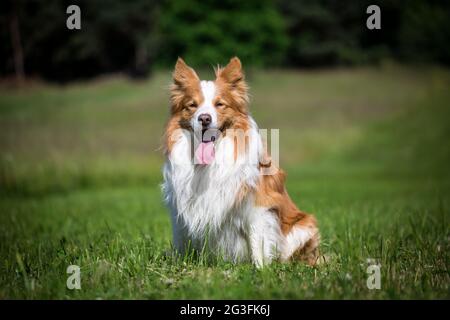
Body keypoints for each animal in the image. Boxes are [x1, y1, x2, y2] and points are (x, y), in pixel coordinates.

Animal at [162, 57, 320, 264]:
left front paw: (261, 269)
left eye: (220, 104)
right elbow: (181, 241)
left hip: (303, 226)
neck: (208, 165)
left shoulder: (258, 208)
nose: (204, 118)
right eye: (192, 105)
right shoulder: (178, 210)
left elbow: (258, 242)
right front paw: (180, 264)